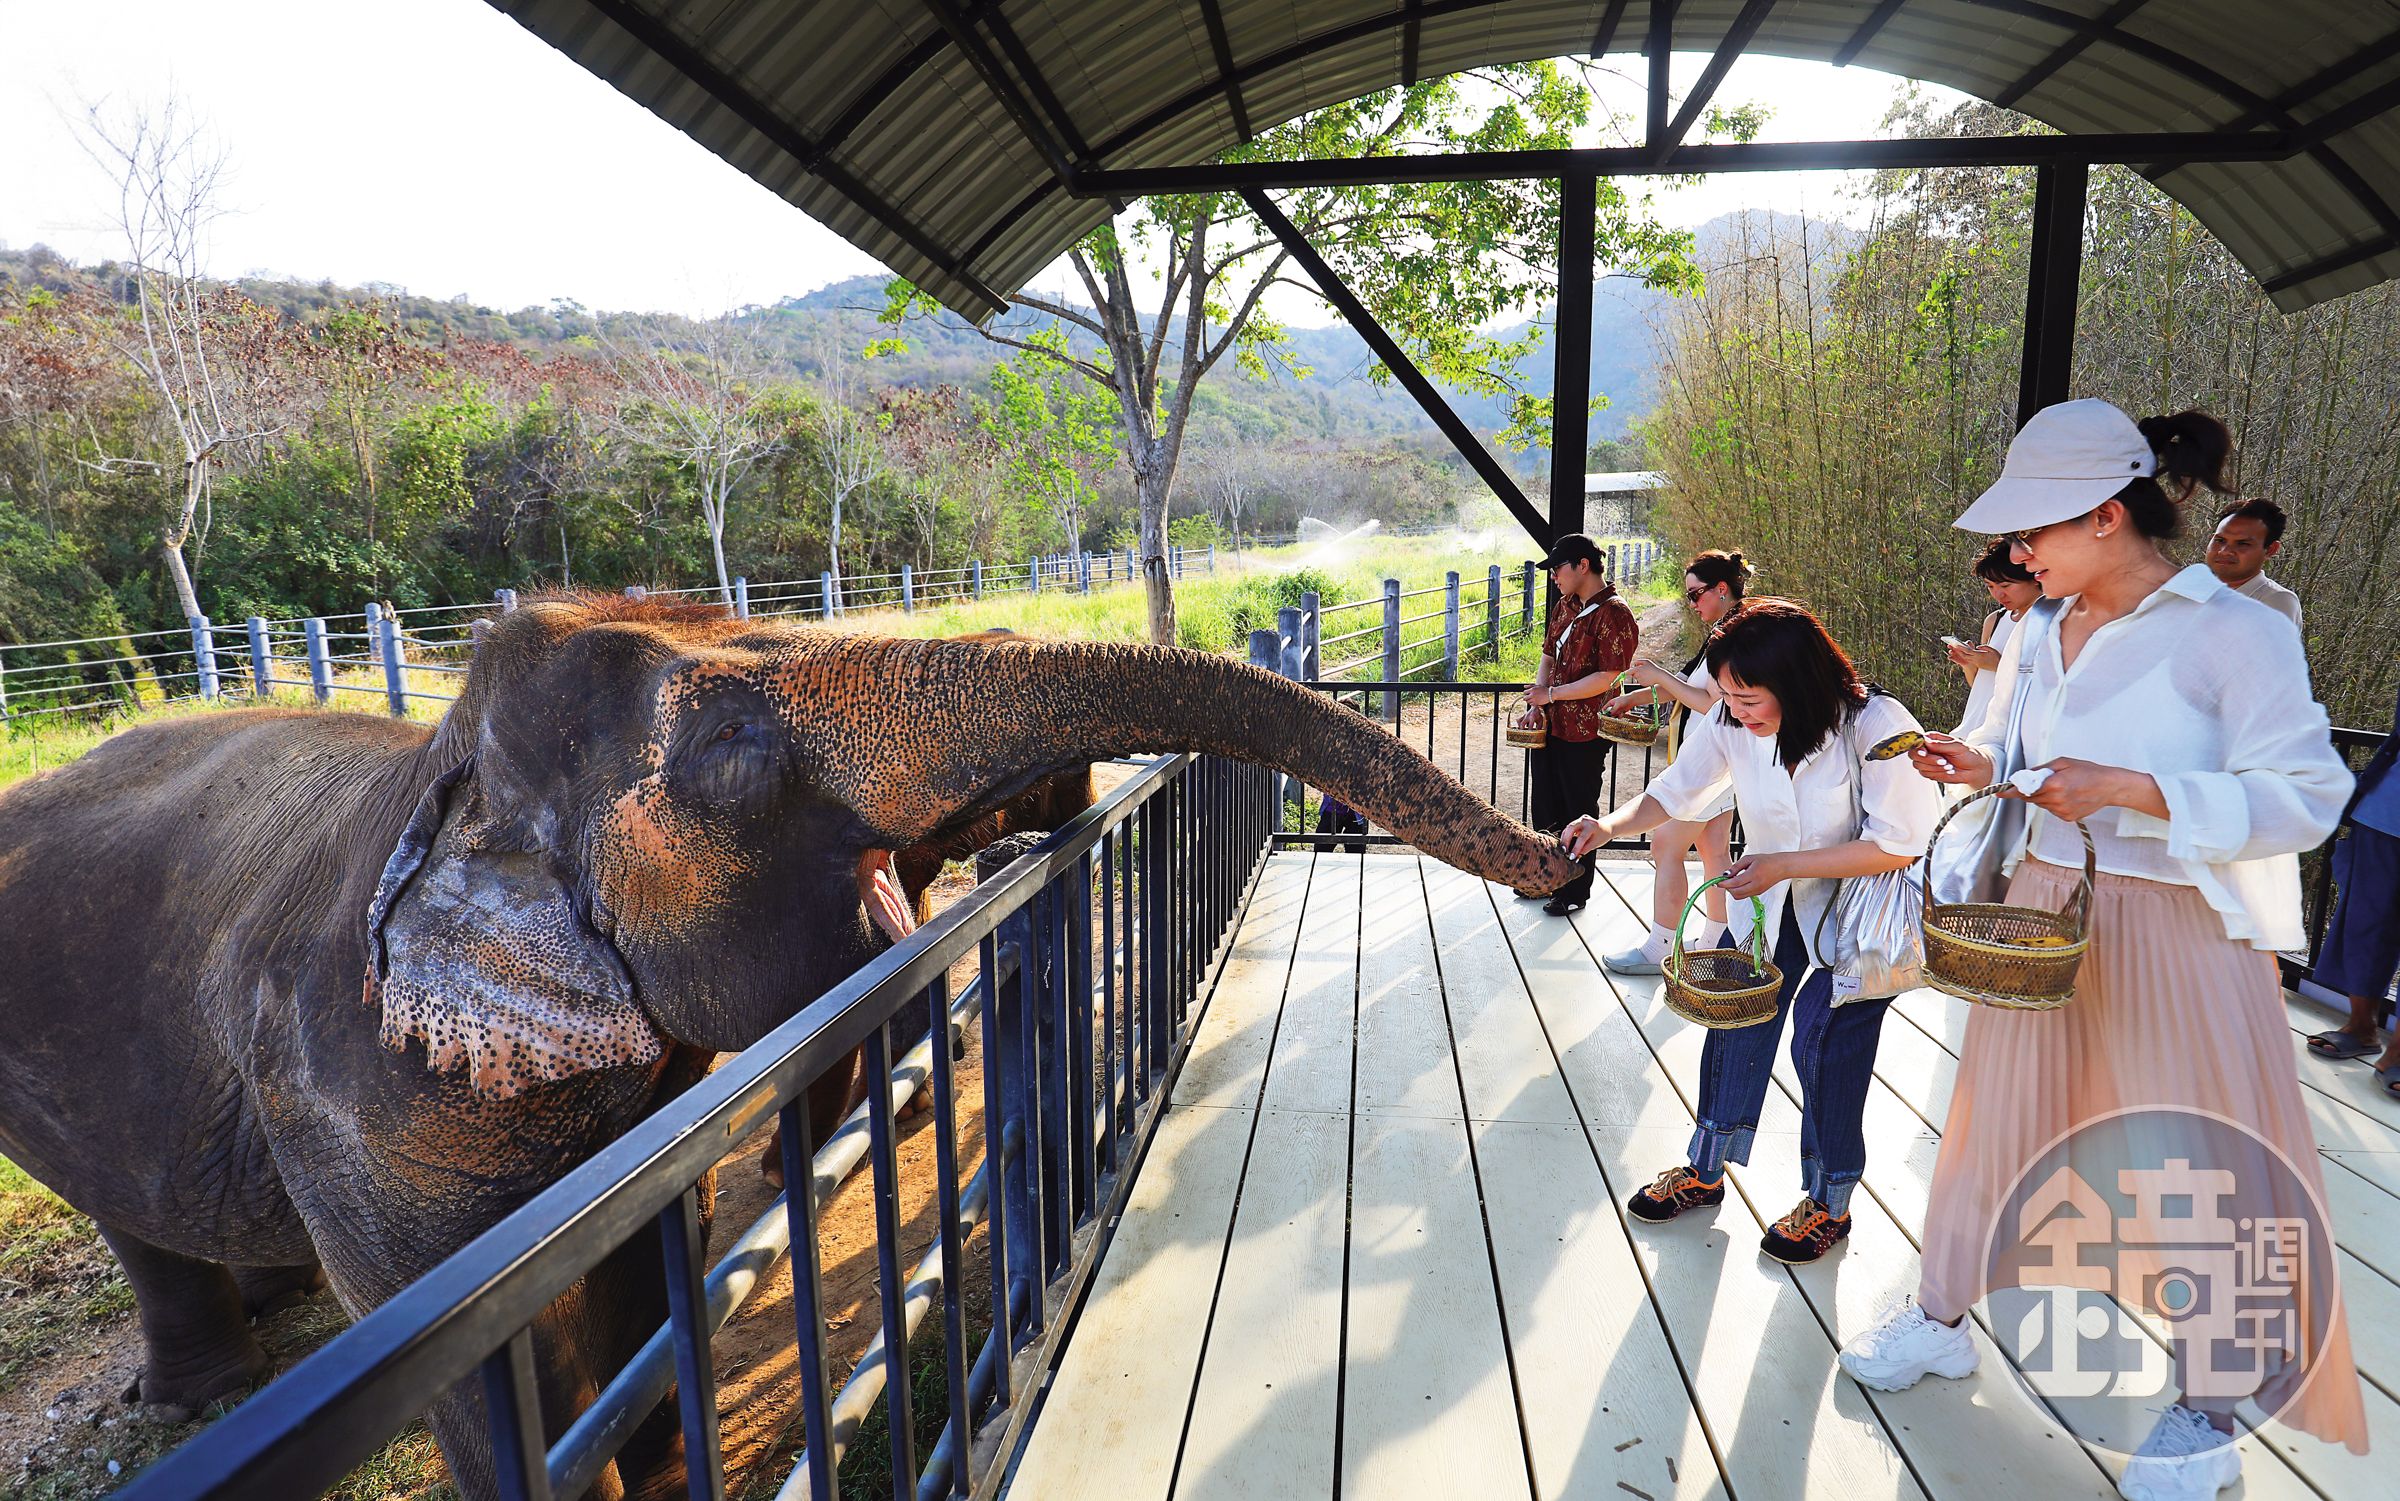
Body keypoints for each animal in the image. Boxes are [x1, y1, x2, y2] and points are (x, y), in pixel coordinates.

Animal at [0, 592, 1575, 1499]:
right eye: (735, 752)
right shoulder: (353, 1103)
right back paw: (201, 1394)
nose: (1567, 861)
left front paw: (658, 1454)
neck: (438, 783)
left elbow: (652, 1255)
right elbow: (481, 1363)